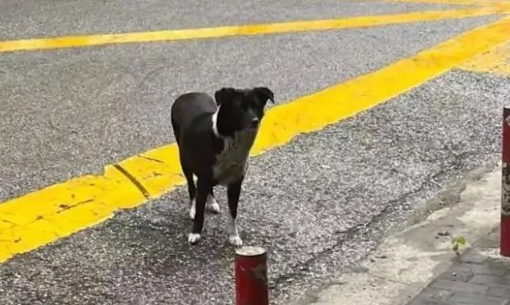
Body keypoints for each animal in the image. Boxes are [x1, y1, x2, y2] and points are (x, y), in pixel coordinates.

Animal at [170, 85, 274, 245]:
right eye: (239, 107)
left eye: (256, 106)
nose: (254, 121)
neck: (230, 141)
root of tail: (187, 95)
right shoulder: (204, 178)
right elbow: (200, 212)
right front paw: (195, 233)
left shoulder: (235, 184)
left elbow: (233, 214)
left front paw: (233, 236)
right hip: (185, 161)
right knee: (192, 186)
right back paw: (192, 208)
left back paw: (212, 202)